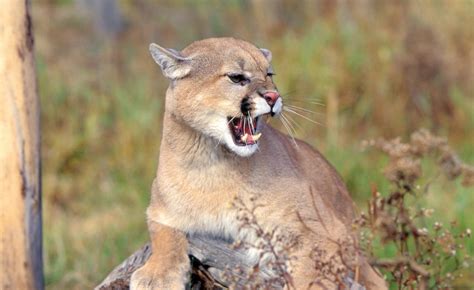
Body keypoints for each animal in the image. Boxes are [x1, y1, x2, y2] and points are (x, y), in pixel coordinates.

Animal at [129, 37, 386, 288]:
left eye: (269, 74)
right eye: (236, 77)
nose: (273, 97)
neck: (212, 162)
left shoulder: (325, 230)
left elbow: (310, 274)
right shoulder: (160, 210)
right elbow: (164, 236)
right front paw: (158, 275)